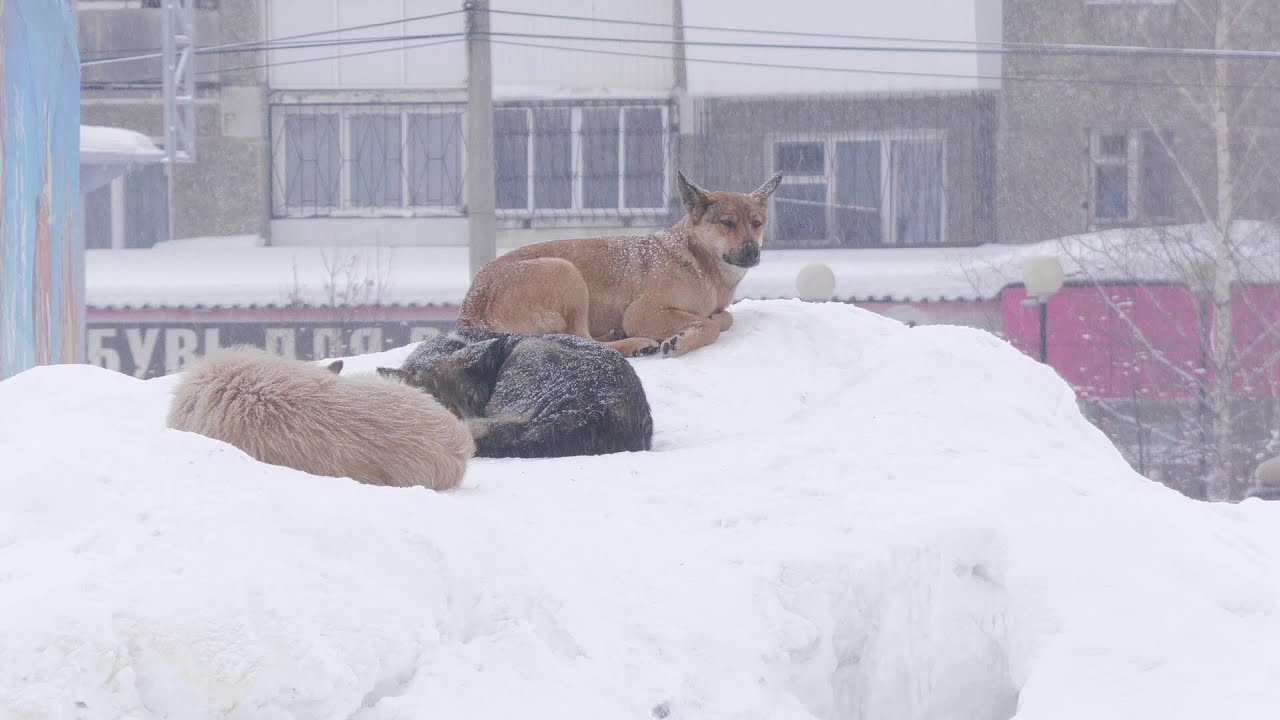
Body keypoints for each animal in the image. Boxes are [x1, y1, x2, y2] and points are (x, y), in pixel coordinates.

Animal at [455, 170, 783, 356]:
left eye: (757, 224)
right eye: (727, 223)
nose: (751, 252)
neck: (697, 259)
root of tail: (470, 307)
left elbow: (723, 317)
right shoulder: (642, 312)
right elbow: (711, 325)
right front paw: (681, 340)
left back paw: (618, 335)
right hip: (565, 272)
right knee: (582, 339)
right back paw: (634, 343)